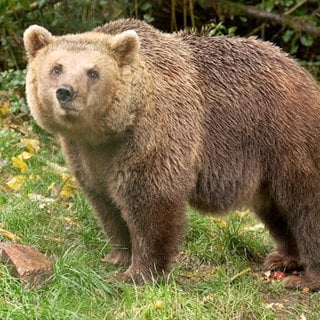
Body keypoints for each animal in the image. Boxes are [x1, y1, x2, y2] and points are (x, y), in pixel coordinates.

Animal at [23, 19, 320, 290]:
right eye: (57, 67)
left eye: (92, 72)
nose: (66, 92)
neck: (110, 132)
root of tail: (304, 75)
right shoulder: (85, 154)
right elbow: (105, 203)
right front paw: (116, 256)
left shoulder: (156, 134)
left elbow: (152, 202)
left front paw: (138, 273)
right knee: (276, 210)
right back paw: (283, 257)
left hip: (285, 137)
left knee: (306, 206)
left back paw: (305, 277)